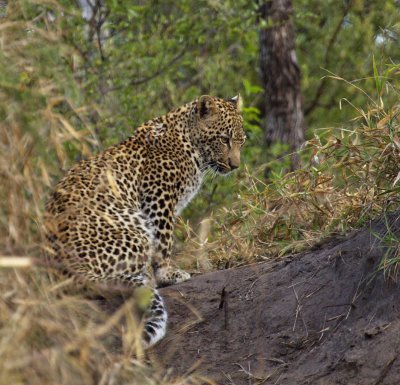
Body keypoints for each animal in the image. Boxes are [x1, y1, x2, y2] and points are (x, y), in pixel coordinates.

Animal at [43, 94, 244, 346]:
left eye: (241, 142)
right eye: (224, 139)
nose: (235, 166)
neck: (189, 142)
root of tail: (67, 267)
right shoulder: (159, 198)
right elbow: (163, 241)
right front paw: (168, 274)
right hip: (134, 229)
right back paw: (147, 278)